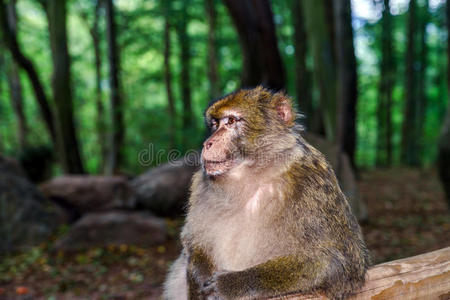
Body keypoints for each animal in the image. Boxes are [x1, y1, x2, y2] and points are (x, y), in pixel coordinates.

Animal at [164, 86, 370, 300]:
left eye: (231, 121)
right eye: (215, 124)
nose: (208, 143)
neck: (250, 177)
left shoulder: (314, 185)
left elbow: (339, 261)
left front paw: (233, 284)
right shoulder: (200, 185)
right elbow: (192, 241)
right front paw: (199, 283)